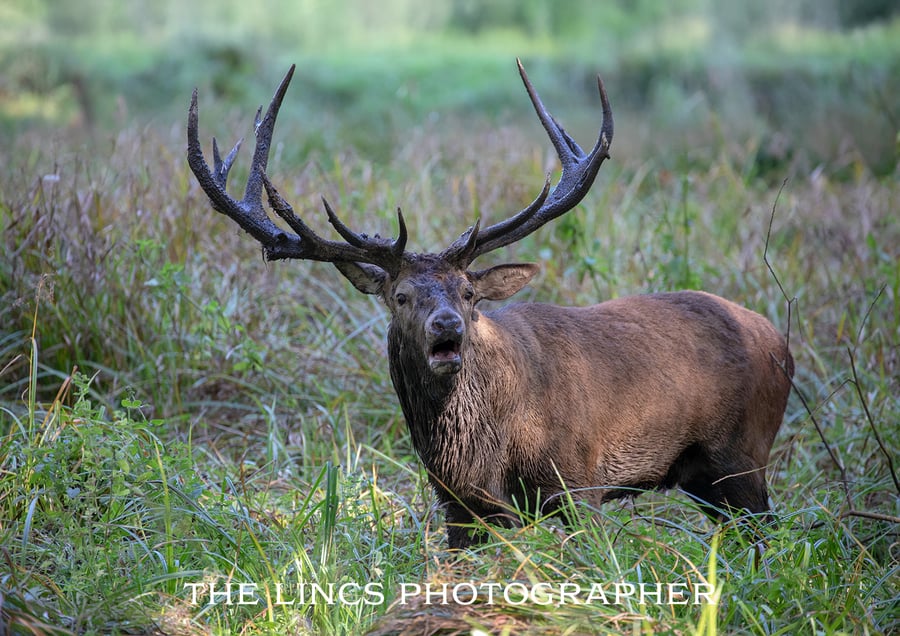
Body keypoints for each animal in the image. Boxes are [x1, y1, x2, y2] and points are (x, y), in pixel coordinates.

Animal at [187, 61, 794, 549]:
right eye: (400, 296)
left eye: (469, 292)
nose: (448, 324)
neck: (483, 448)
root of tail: (780, 341)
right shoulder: (458, 507)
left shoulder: (580, 481)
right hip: (705, 477)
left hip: (743, 454)